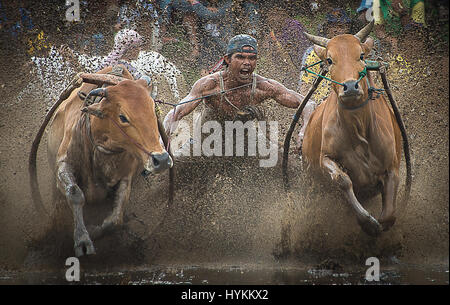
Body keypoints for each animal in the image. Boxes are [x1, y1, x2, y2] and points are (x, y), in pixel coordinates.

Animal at [28, 65, 172, 255]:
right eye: (123, 117)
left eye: (152, 110)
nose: (161, 159)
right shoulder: (63, 165)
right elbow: (74, 193)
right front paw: (82, 239)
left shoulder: (125, 178)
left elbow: (115, 219)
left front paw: (93, 230)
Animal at [300, 22, 402, 235]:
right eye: (330, 60)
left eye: (361, 55)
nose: (350, 86)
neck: (359, 128)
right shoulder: (325, 157)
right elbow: (343, 179)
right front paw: (367, 221)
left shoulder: (392, 167)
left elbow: (388, 216)